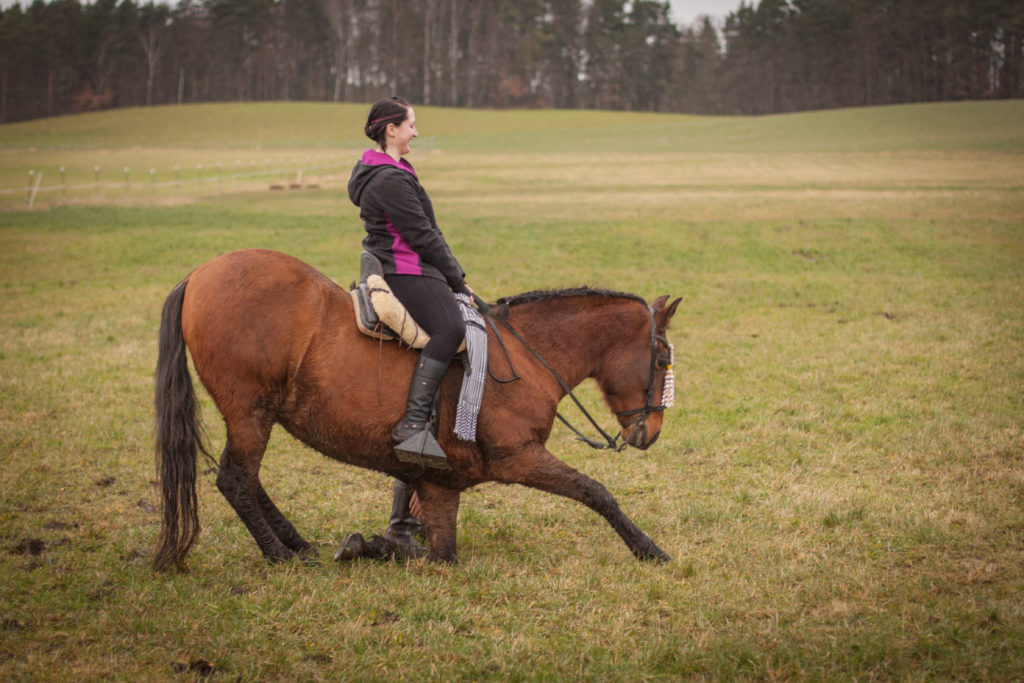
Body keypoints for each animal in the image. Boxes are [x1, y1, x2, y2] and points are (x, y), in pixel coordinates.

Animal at [151, 246, 679, 573]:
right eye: (661, 360)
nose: (650, 430)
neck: (525, 354)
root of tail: (198, 275)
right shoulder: (520, 457)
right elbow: (596, 492)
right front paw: (650, 550)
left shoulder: (440, 482)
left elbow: (428, 539)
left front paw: (375, 544)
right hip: (251, 412)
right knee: (236, 478)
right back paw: (283, 556)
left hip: (255, 416)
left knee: (247, 478)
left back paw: (297, 542)